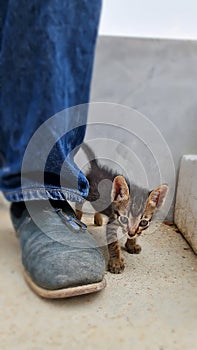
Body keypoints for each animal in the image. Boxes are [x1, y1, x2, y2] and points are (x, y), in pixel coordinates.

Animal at [76, 143, 169, 274]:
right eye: (124, 219)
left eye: (143, 222)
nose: (131, 233)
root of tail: (97, 167)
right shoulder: (112, 222)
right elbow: (114, 244)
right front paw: (116, 262)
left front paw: (131, 244)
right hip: (88, 192)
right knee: (79, 201)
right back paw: (77, 215)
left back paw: (98, 218)